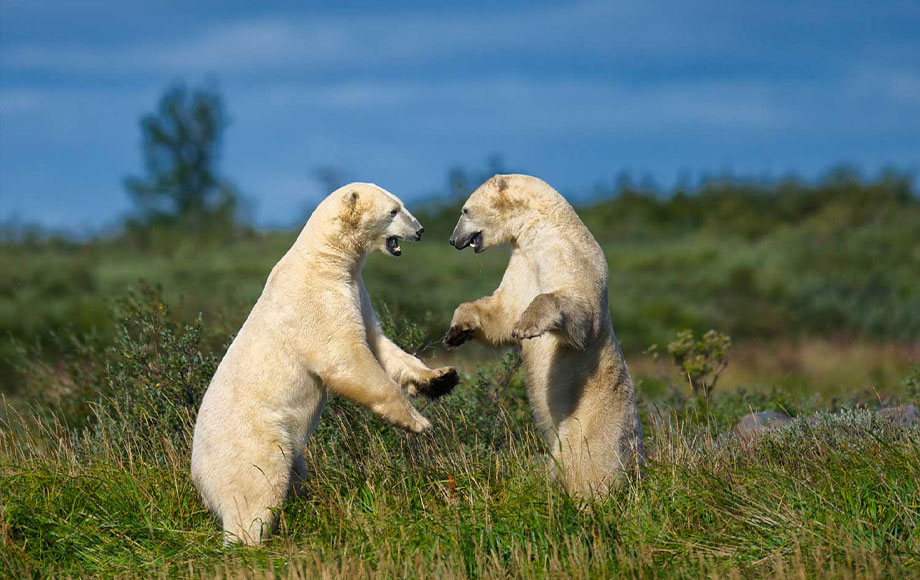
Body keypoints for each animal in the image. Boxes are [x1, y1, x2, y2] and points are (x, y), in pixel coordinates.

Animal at [191, 184, 460, 548]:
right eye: (393, 210)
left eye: (401, 205)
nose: (419, 230)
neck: (324, 259)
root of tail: (198, 476)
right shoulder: (317, 302)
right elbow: (347, 360)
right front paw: (419, 422)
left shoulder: (356, 292)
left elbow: (381, 345)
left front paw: (441, 378)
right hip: (253, 441)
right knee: (256, 490)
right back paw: (253, 542)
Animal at [442, 173, 644, 498]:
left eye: (464, 210)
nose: (453, 240)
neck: (543, 227)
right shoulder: (523, 262)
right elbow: (502, 310)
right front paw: (456, 330)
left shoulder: (567, 254)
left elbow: (577, 307)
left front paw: (527, 325)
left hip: (593, 422)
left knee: (587, 465)